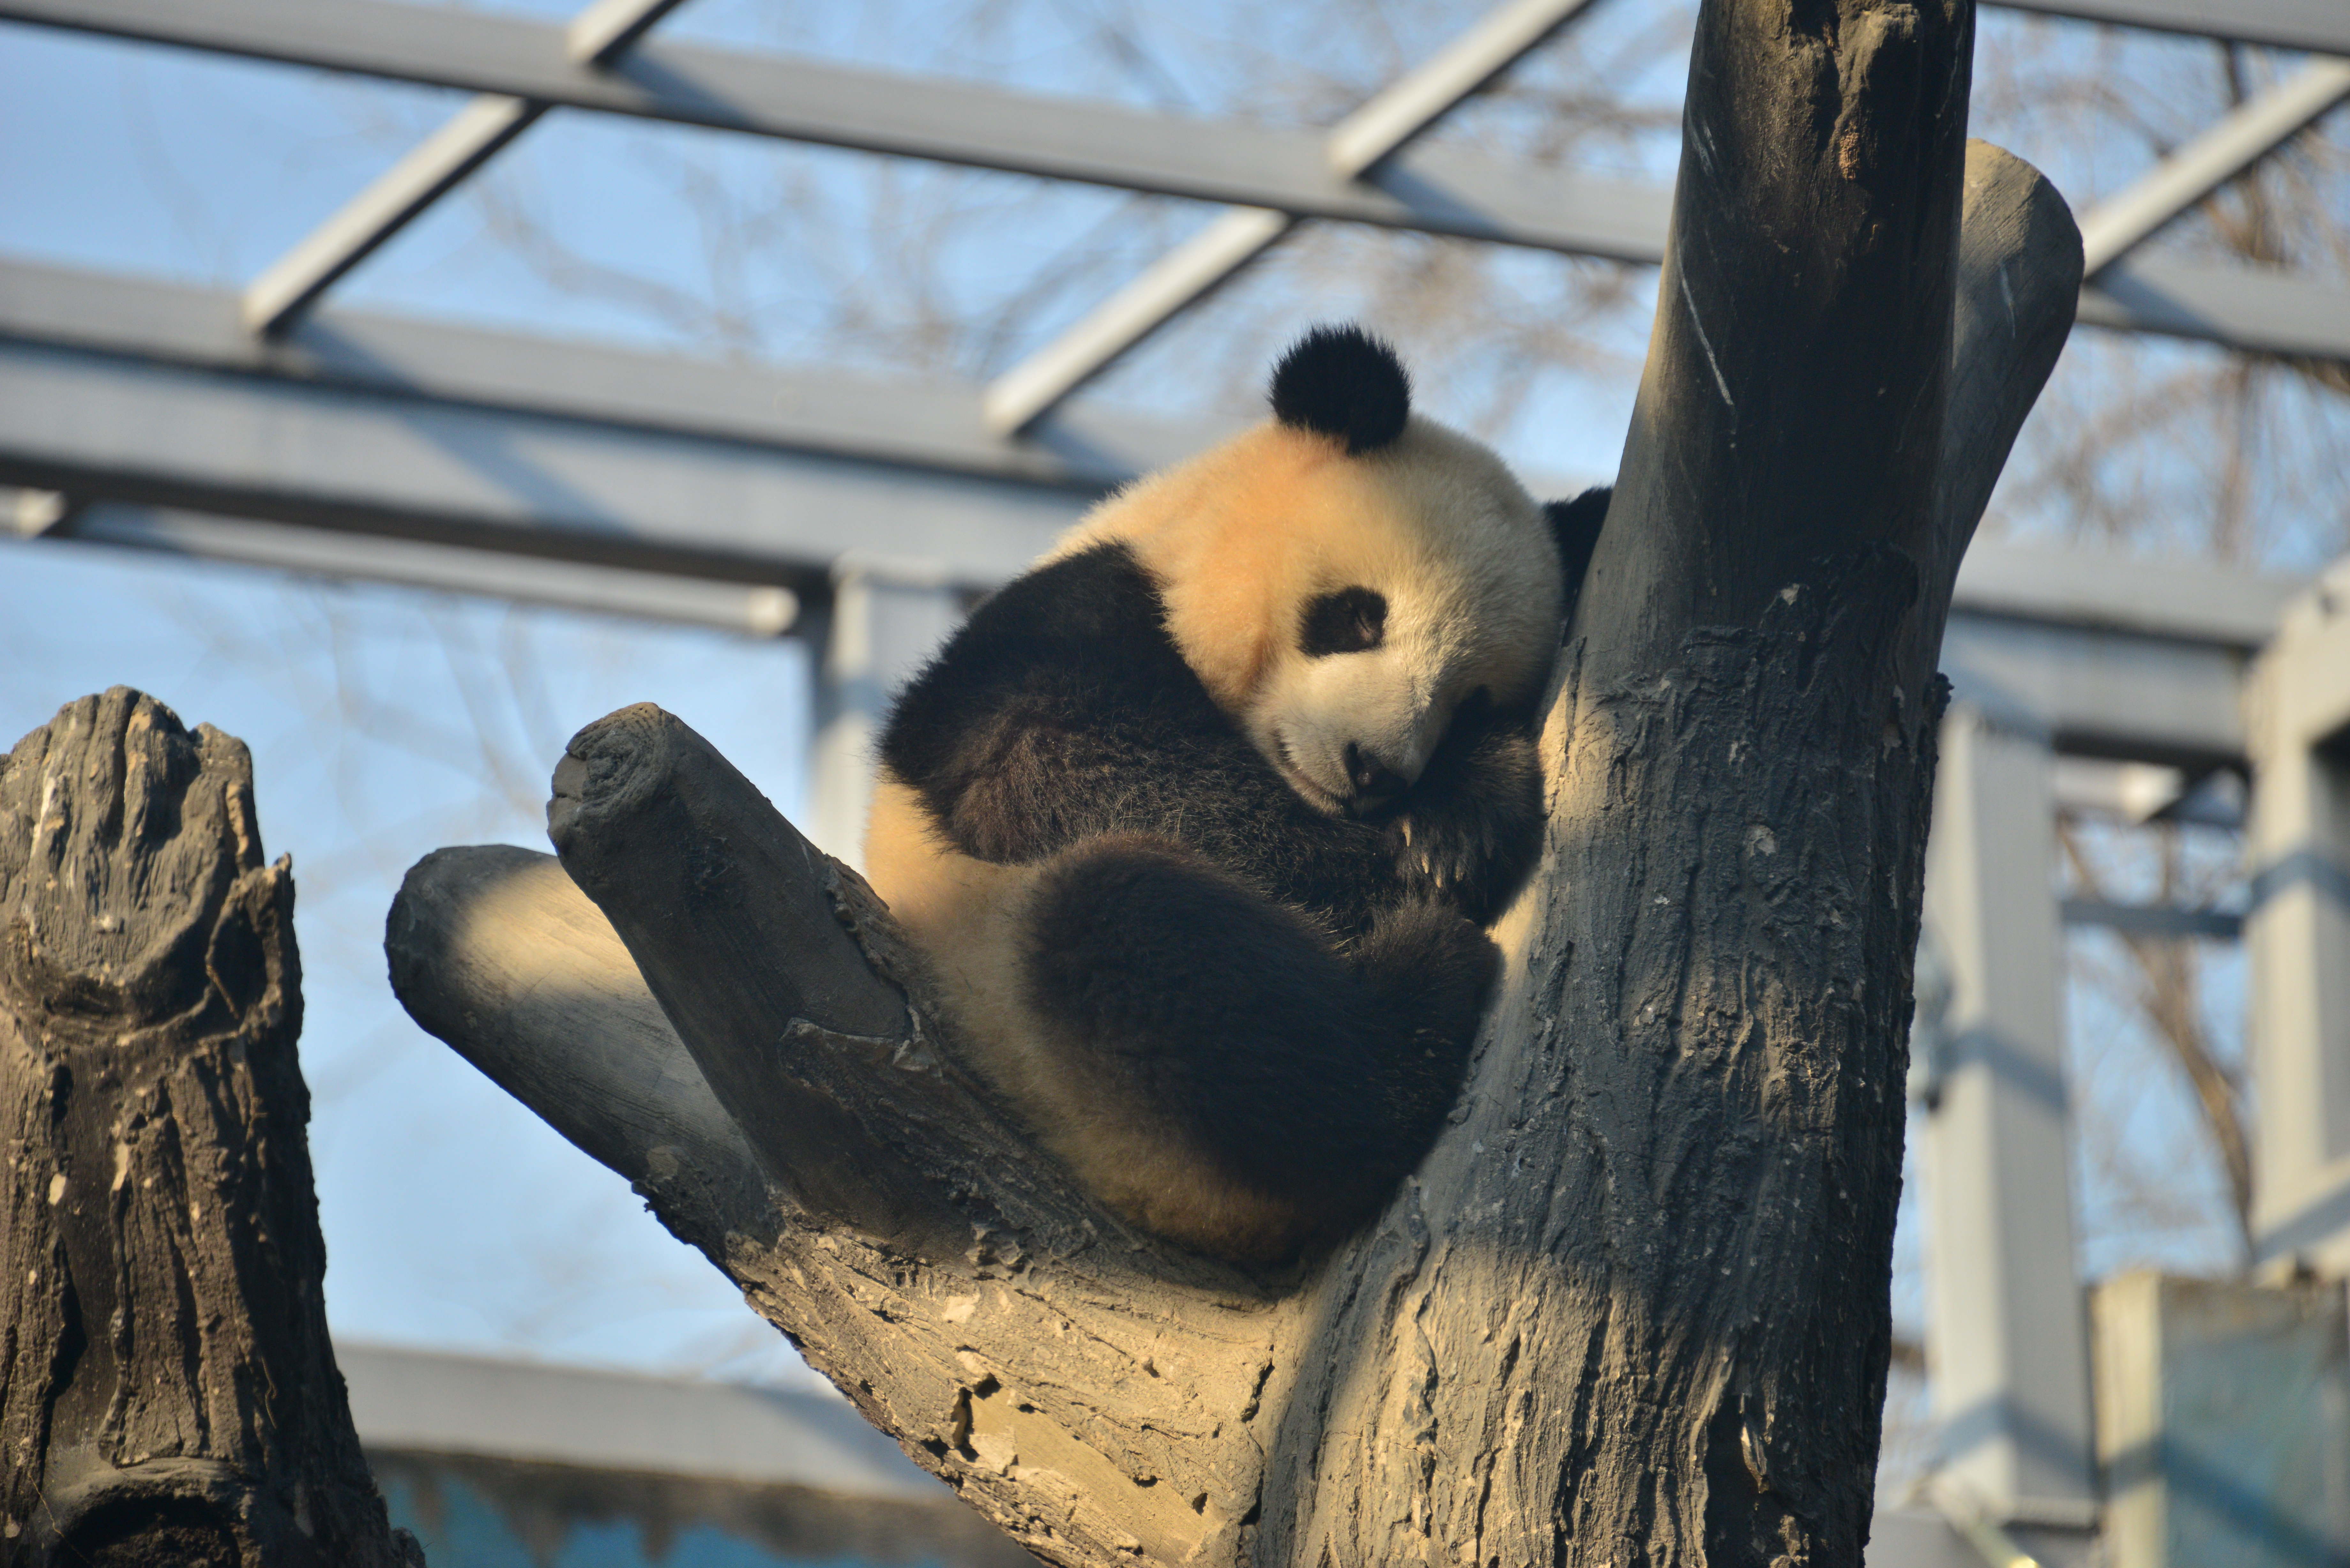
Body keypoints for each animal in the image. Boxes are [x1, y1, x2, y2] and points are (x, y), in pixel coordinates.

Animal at [874, 329, 1607, 1260]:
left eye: (1472, 698)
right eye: (1359, 616)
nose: (1373, 771)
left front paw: (1456, 822)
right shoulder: (1048, 627)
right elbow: (1053, 758)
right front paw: (1410, 867)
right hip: (1043, 1024)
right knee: (1146, 940)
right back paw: (1422, 981)